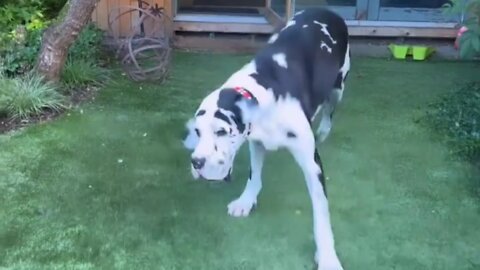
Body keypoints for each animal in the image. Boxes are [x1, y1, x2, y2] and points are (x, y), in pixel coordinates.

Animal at [182, 7, 350, 270]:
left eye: (221, 131)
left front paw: (327, 258)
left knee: (329, 109)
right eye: (198, 132)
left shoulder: (312, 165)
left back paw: (323, 129)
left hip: (338, 87)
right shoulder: (256, 141)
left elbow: (321, 214)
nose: (196, 163)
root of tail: (327, 10)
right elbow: (254, 176)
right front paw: (246, 201)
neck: (265, 93)